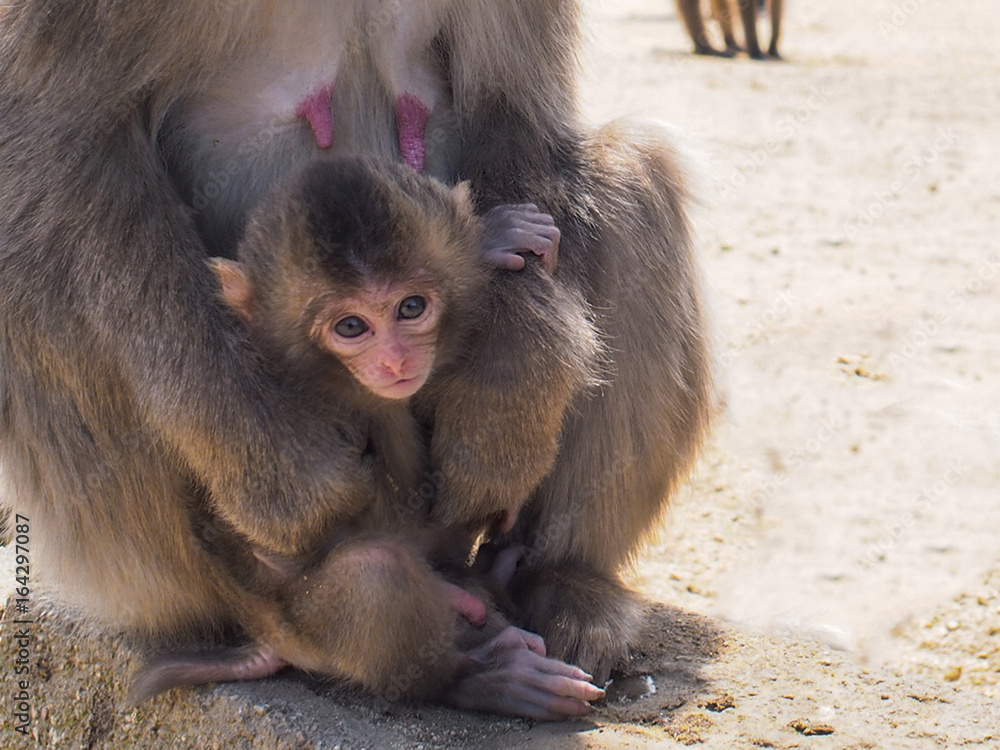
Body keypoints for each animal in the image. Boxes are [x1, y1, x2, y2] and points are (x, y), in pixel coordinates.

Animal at [0, 0, 712, 699]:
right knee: (35, 279)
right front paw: (280, 471)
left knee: (635, 172)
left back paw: (558, 585)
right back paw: (464, 668)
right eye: (351, 327)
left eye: (411, 310)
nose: (394, 358)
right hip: (179, 580)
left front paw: (508, 400)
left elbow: (510, 110)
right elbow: (63, 141)